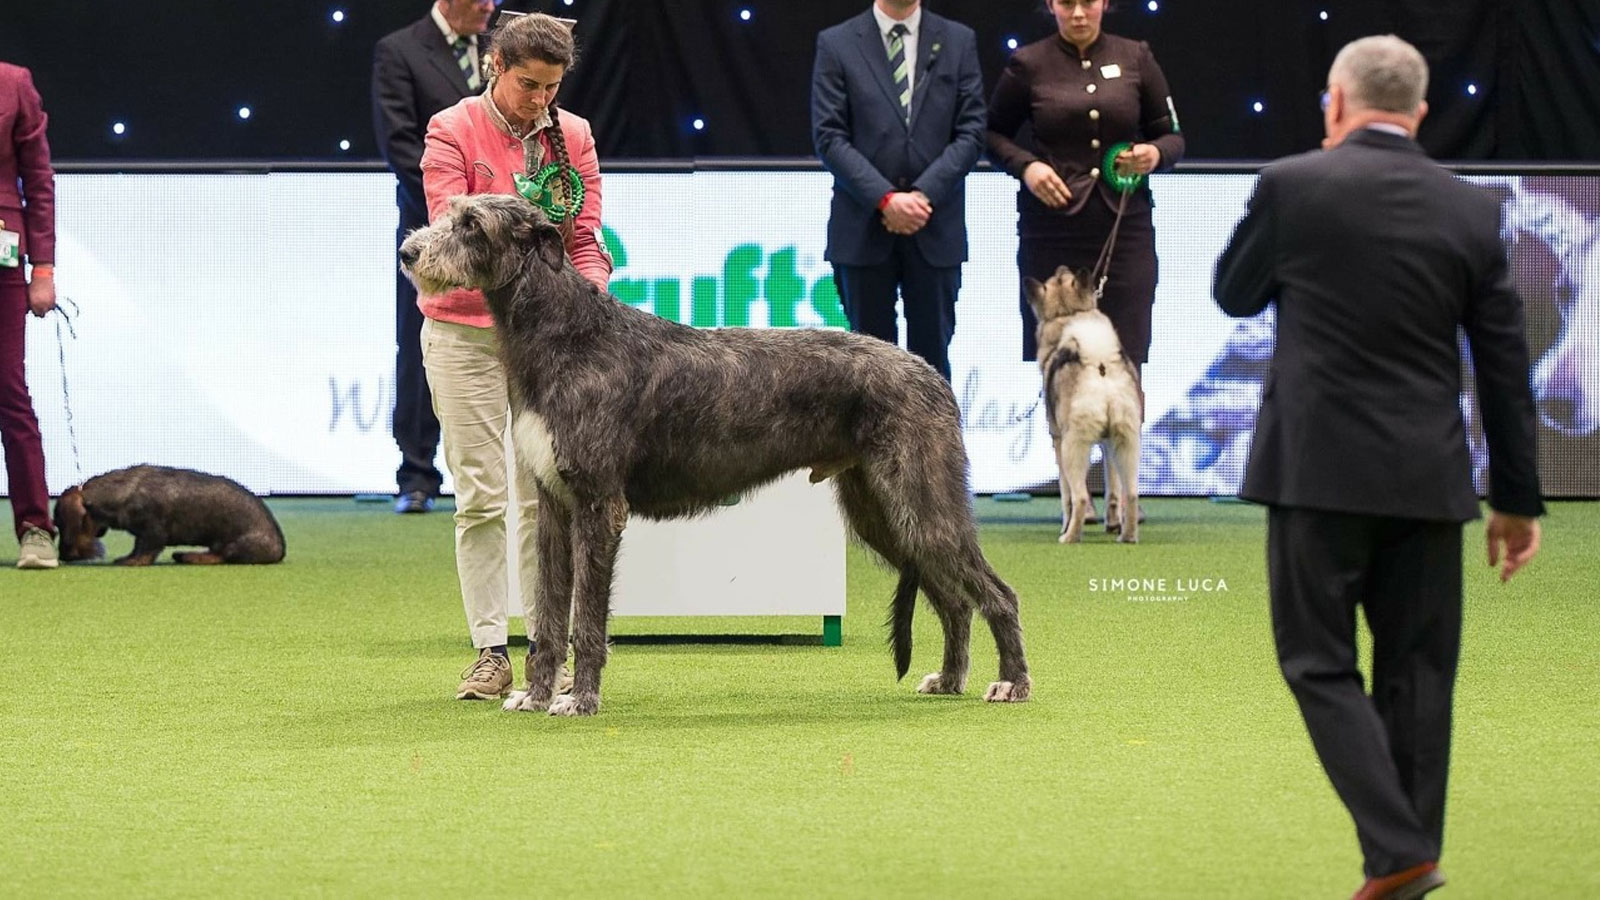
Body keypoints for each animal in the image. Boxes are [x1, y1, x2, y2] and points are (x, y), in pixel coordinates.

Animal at [396, 194, 1024, 714]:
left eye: (472, 224)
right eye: (450, 211)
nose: (408, 251)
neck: (569, 336)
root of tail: (934, 375)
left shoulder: (599, 505)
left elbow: (587, 619)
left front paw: (581, 699)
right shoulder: (553, 505)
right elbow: (549, 613)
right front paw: (536, 693)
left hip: (920, 498)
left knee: (996, 593)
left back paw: (1011, 682)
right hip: (880, 512)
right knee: (954, 599)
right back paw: (949, 678)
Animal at [1024, 265, 1139, 544]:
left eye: (1057, 277)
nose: (1061, 267)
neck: (1070, 314)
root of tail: (1100, 365)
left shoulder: (1057, 442)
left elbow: (1066, 497)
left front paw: (1065, 526)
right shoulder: (1108, 447)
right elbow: (1112, 489)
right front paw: (1112, 523)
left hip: (1072, 447)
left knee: (1081, 496)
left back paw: (1070, 537)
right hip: (1127, 445)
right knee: (1130, 493)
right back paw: (1127, 536)